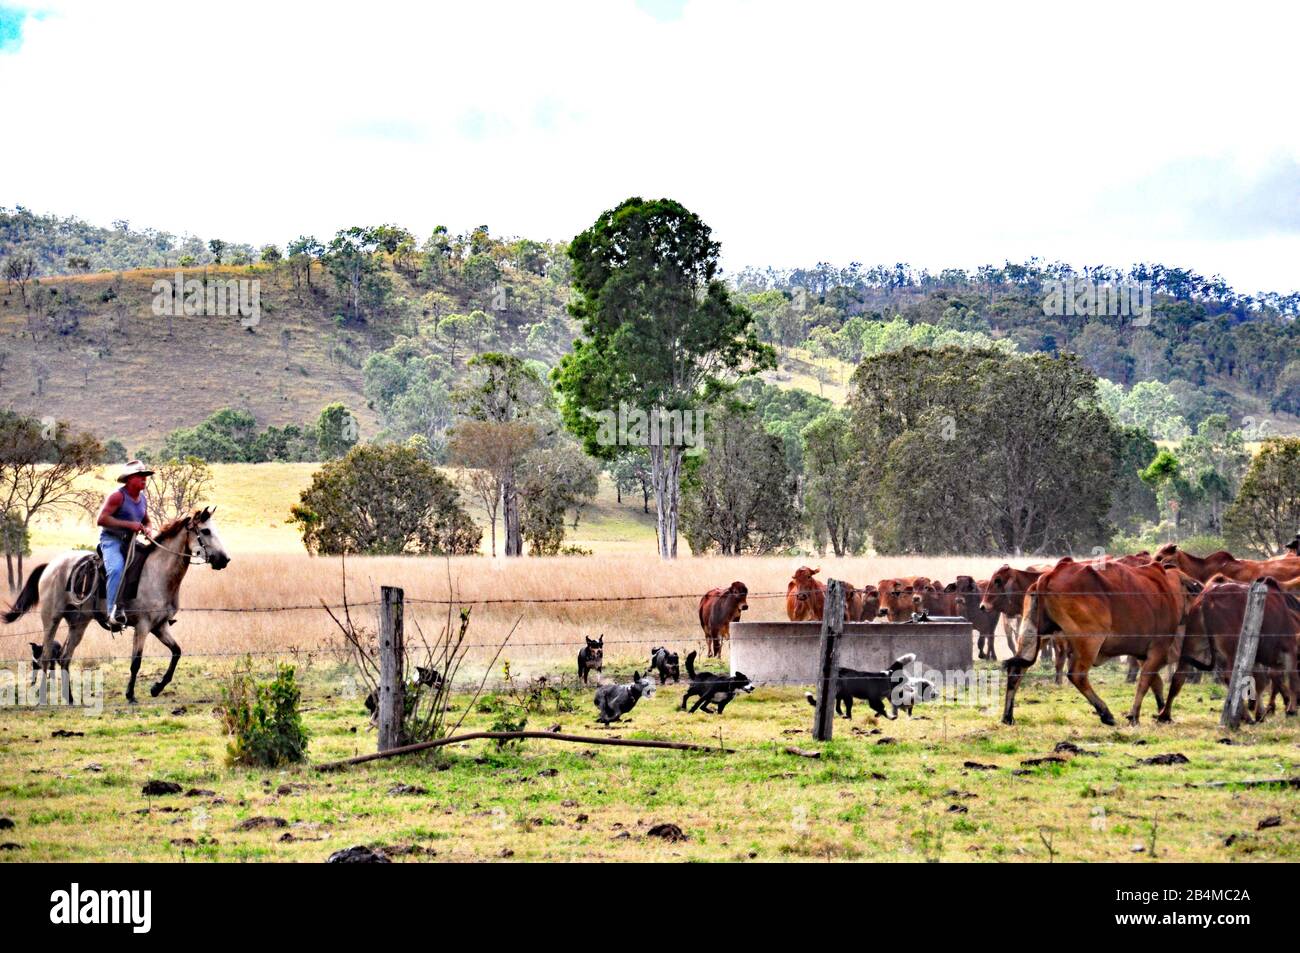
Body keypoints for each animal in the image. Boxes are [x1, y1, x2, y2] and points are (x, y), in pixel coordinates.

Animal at [998, 553, 1190, 722]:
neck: (1167, 588)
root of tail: (1048, 576)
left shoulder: (1143, 655)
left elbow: (1156, 682)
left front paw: (1162, 711)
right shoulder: (1158, 649)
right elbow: (1145, 682)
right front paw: (1136, 716)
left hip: (1032, 636)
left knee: (1016, 670)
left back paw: (1008, 716)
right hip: (1090, 641)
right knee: (1077, 675)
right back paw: (1106, 713)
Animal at [1170, 572, 1300, 722]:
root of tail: (1209, 595)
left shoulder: (1258, 658)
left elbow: (1262, 682)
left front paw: (1262, 711)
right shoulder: (1289, 650)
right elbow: (1292, 680)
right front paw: (1289, 709)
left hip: (1193, 641)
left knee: (1179, 674)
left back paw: (1164, 715)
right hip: (1233, 648)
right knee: (1231, 677)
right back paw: (1246, 716)